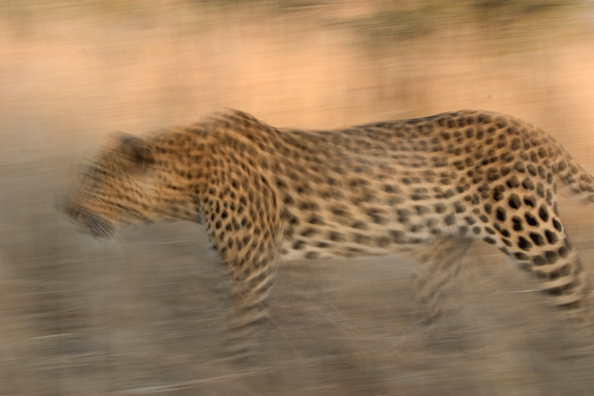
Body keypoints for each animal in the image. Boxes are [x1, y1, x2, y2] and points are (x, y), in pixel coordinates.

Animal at [61, 109, 592, 358]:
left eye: (96, 178)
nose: (64, 209)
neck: (186, 183)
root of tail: (537, 132)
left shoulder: (252, 267)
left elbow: (239, 329)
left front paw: (229, 369)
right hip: (444, 247)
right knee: (432, 310)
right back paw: (416, 357)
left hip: (532, 233)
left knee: (577, 291)